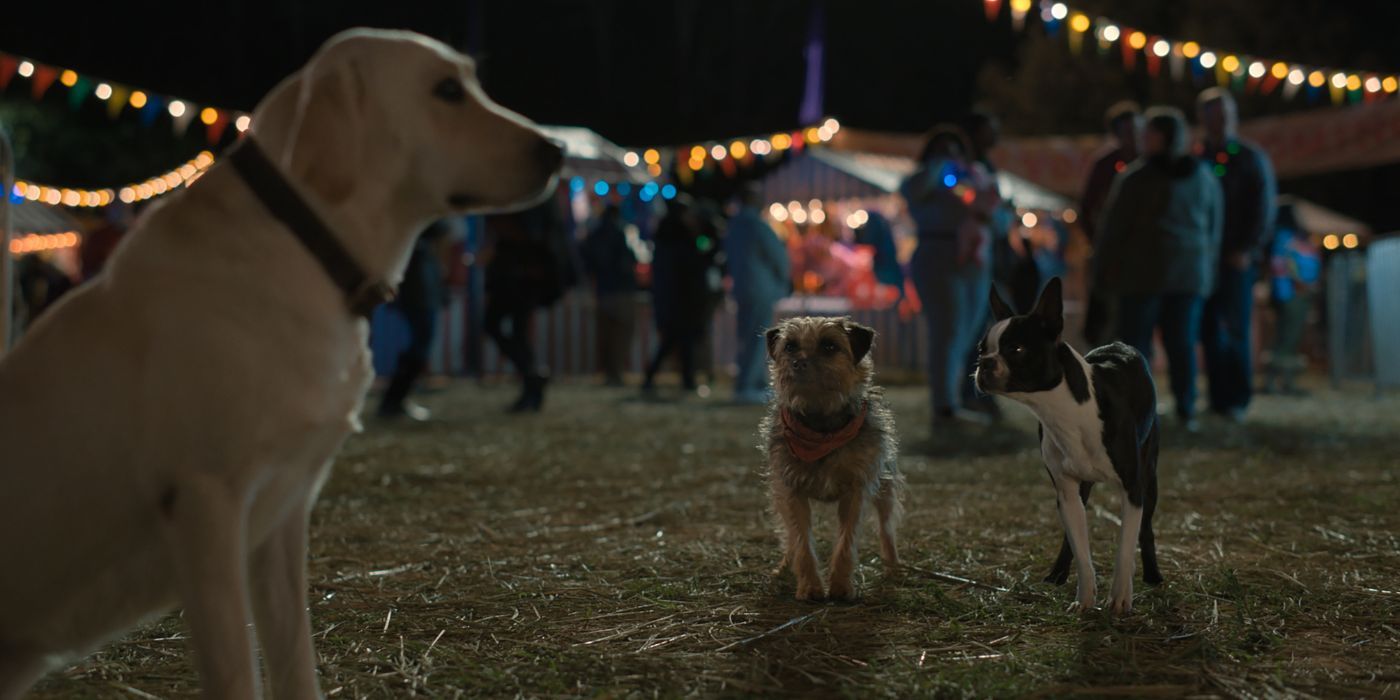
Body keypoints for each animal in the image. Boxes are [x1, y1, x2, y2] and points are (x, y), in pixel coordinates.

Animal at [761, 317, 901, 602]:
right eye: (790, 346)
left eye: (829, 346)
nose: (799, 363)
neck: (821, 426)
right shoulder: (790, 491)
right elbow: (800, 539)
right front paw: (810, 586)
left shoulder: (856, 490)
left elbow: (847, 540)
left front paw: (840, 586)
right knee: (788, 536)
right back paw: (784, 566)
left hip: (885, 487)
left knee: (886, 527)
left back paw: (892, 567)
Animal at [974, 278, 1159, 613]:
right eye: (982, 349)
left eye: (1016, 349)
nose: (983, 362)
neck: (1063, 411)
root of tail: (1118, 344)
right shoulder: (1066, 491)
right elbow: (1081, 550)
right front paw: (1085, 599)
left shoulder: (1132, 488)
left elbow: (1125, 545)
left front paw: (1120, 597)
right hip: (1079, 489)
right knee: (1071, 538)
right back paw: (1058, 573)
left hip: (1150, 476)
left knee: (1146, 527)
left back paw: (1153, 575)